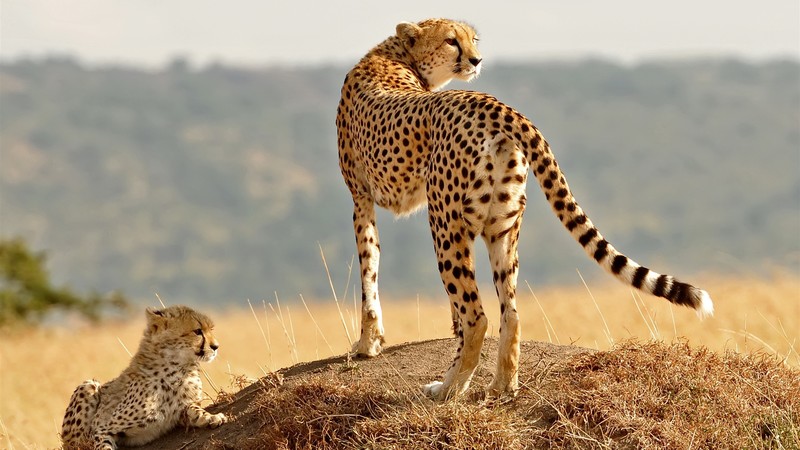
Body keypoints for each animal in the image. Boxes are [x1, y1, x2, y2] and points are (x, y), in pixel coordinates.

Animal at [60, 305, 228, 450]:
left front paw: (211, 417)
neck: (179, 369)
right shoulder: (101, 426)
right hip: (88, 385)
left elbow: (194, 409)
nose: (216, 347)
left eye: (211, 329)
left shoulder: (179, 412)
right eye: (198, 331)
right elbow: (104, 444)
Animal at [336, 18, 714, 400]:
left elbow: (369, 268)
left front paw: (367, 343)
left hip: (445, 223)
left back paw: (449, 388)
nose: (476, 60)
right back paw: (503, 385)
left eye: (472, 40)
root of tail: (491, 103)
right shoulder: (367, 197)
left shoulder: (360, 198)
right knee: (511, 313)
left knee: (478, 316)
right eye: (451, 41)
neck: (396, 55)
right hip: (502, 226)